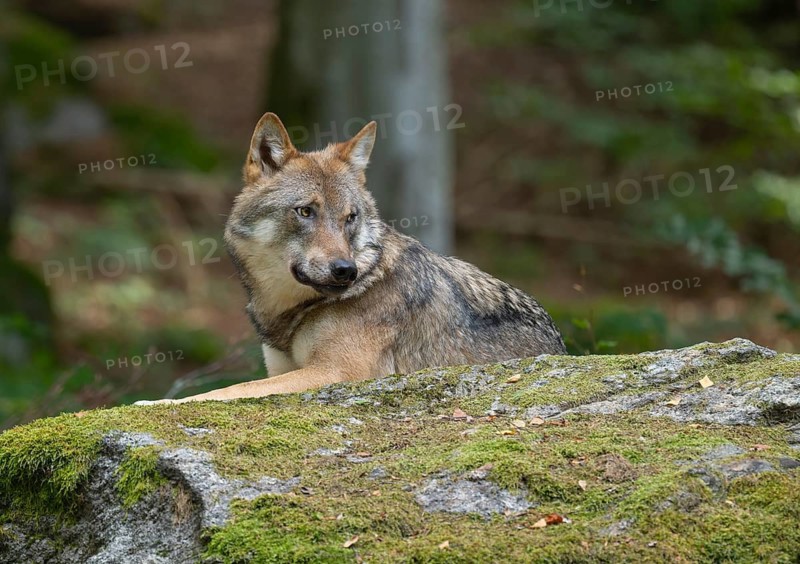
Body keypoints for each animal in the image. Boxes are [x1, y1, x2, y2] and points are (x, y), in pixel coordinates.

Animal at [136, 113, 565, 405]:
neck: (294, 310)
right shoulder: (287, 367)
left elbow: (229, 390)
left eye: (350, 218)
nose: (346, 270)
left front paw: (154, 403)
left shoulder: (336, 372)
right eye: (305, 211)